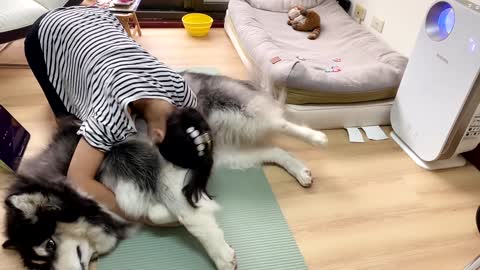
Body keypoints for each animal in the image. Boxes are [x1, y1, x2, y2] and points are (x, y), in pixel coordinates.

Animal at [2, 71, 326, 270]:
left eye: (50, 244)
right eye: (41, 264)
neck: (78, 191)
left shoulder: (156, 165)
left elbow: (183, 214)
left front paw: (219, 253)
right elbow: (158, 211)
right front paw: (185, 212)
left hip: (241, 115)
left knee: (280, 121)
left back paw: (317, 137)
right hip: (229, 154)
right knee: (273, 150)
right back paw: (300, 170)